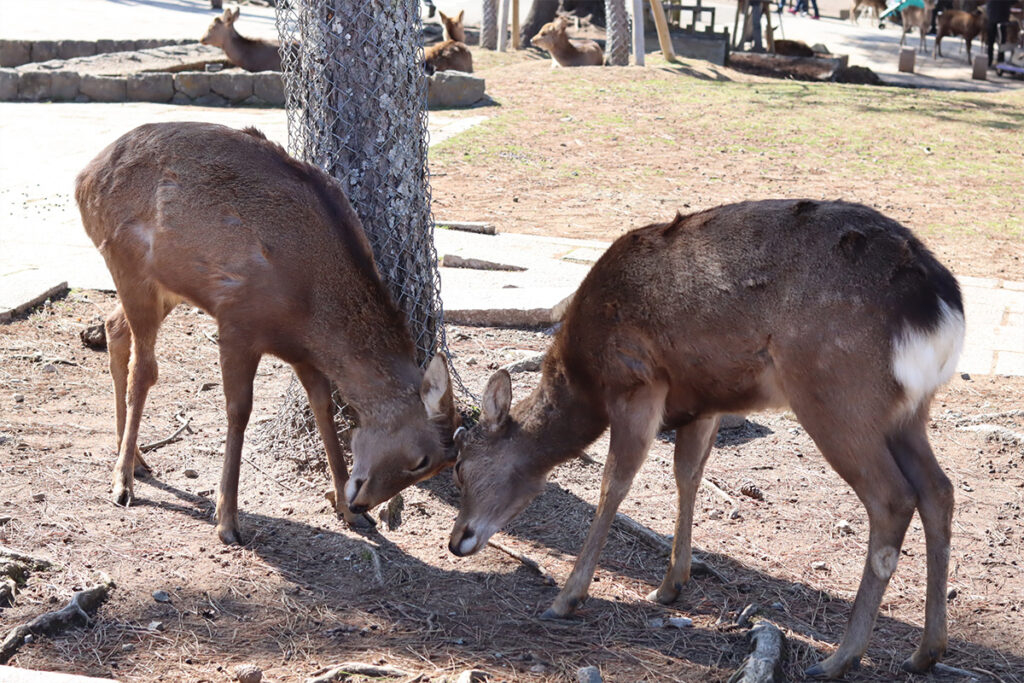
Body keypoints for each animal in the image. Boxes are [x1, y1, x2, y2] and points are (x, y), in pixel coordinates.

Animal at [73, 122, 456, 548]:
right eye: (421, 460)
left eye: (437, 467)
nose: (362, 503)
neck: (310, 310)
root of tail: (82, 179)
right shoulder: (237, 321)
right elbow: (239, 411)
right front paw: (227, 520)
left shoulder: (304, 354)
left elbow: (323, 407)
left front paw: (345, 509)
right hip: (126, 263)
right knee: (144, 369)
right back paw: (122, 479)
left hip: (167, 286)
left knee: (114, 327)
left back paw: (136, 458)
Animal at [446, 198, 958, 679]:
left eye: (460, 467)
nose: (456, 540)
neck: (584, 376)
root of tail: (943, 310)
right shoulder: (701, 403)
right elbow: (687, 475)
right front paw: (671, 584)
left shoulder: (637, 382)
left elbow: (615, 483)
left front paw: (567, 597)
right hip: (907, 412)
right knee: (938, 489)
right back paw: (925, 652)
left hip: (837, 393)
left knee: (892, 497)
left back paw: (840, 658)